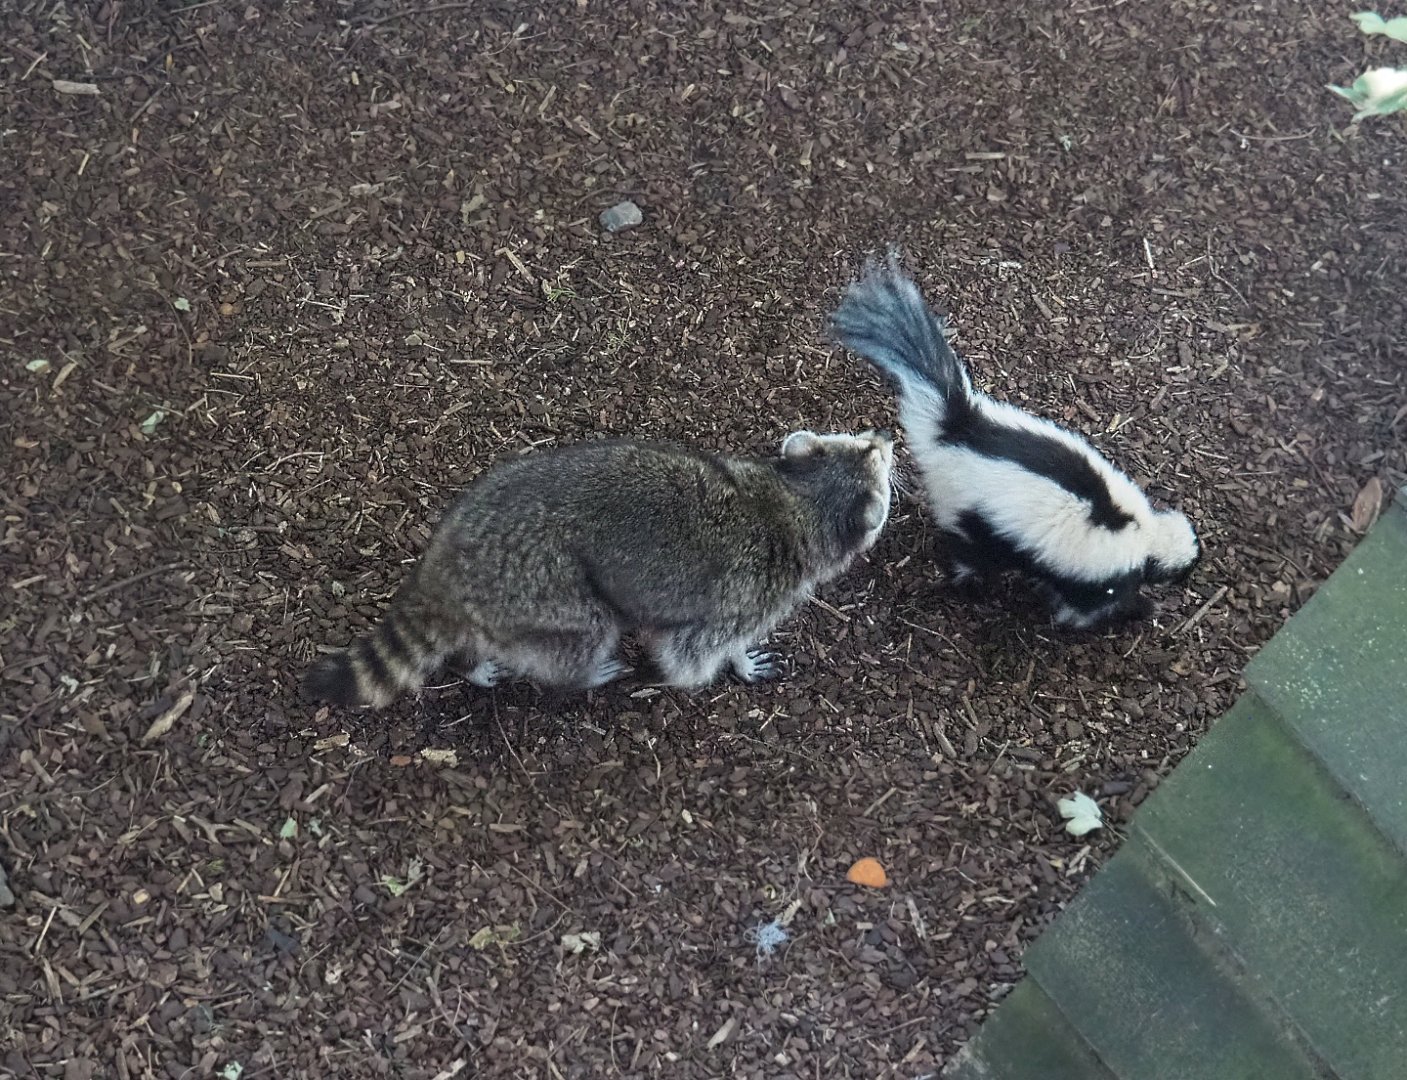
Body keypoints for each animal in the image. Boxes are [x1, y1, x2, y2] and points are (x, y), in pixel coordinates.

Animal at [303, 431, 894, 708]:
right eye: (879, 461)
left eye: (860, 443)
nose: (886, 437)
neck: (796, 502)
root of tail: (444, 568)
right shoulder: (751, 591)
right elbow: (690, 653)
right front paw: (736, 664)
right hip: (542, 586)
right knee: (587, 631)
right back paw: (581, 672)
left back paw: (470, 662)